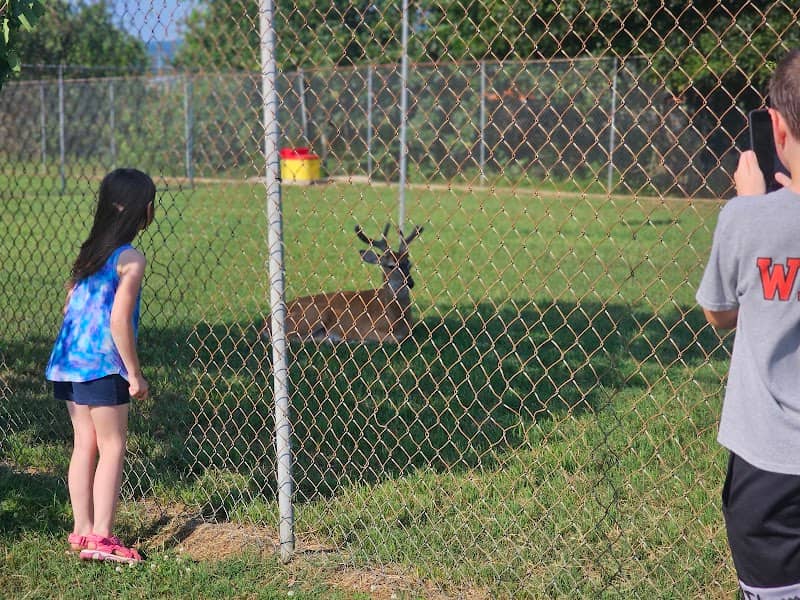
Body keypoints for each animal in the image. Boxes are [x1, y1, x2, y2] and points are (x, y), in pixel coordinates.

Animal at [262, 223, 423, 344]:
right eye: (390, 266)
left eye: (409, 264)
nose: (410, 283)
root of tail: (266, 323)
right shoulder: (365, 328)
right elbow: (394, 339)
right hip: (316, 312)